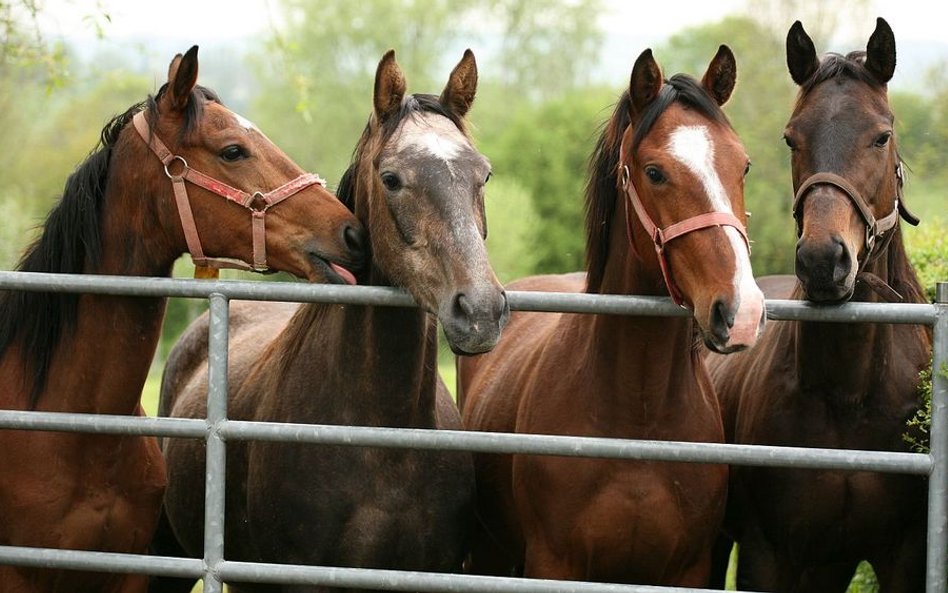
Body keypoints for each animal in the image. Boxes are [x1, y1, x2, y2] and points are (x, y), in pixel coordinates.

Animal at [458, 44, 764, 584]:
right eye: (655, 172)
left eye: (742, 165)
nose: (741, 310)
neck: (638, 418)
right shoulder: (553, 565)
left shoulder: (688, 570)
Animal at [708, 18, 928, 592]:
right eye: (791, 138)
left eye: (882, 135)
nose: (823, 260)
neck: (848, 393)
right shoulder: (767, 555)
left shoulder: (904, 555)